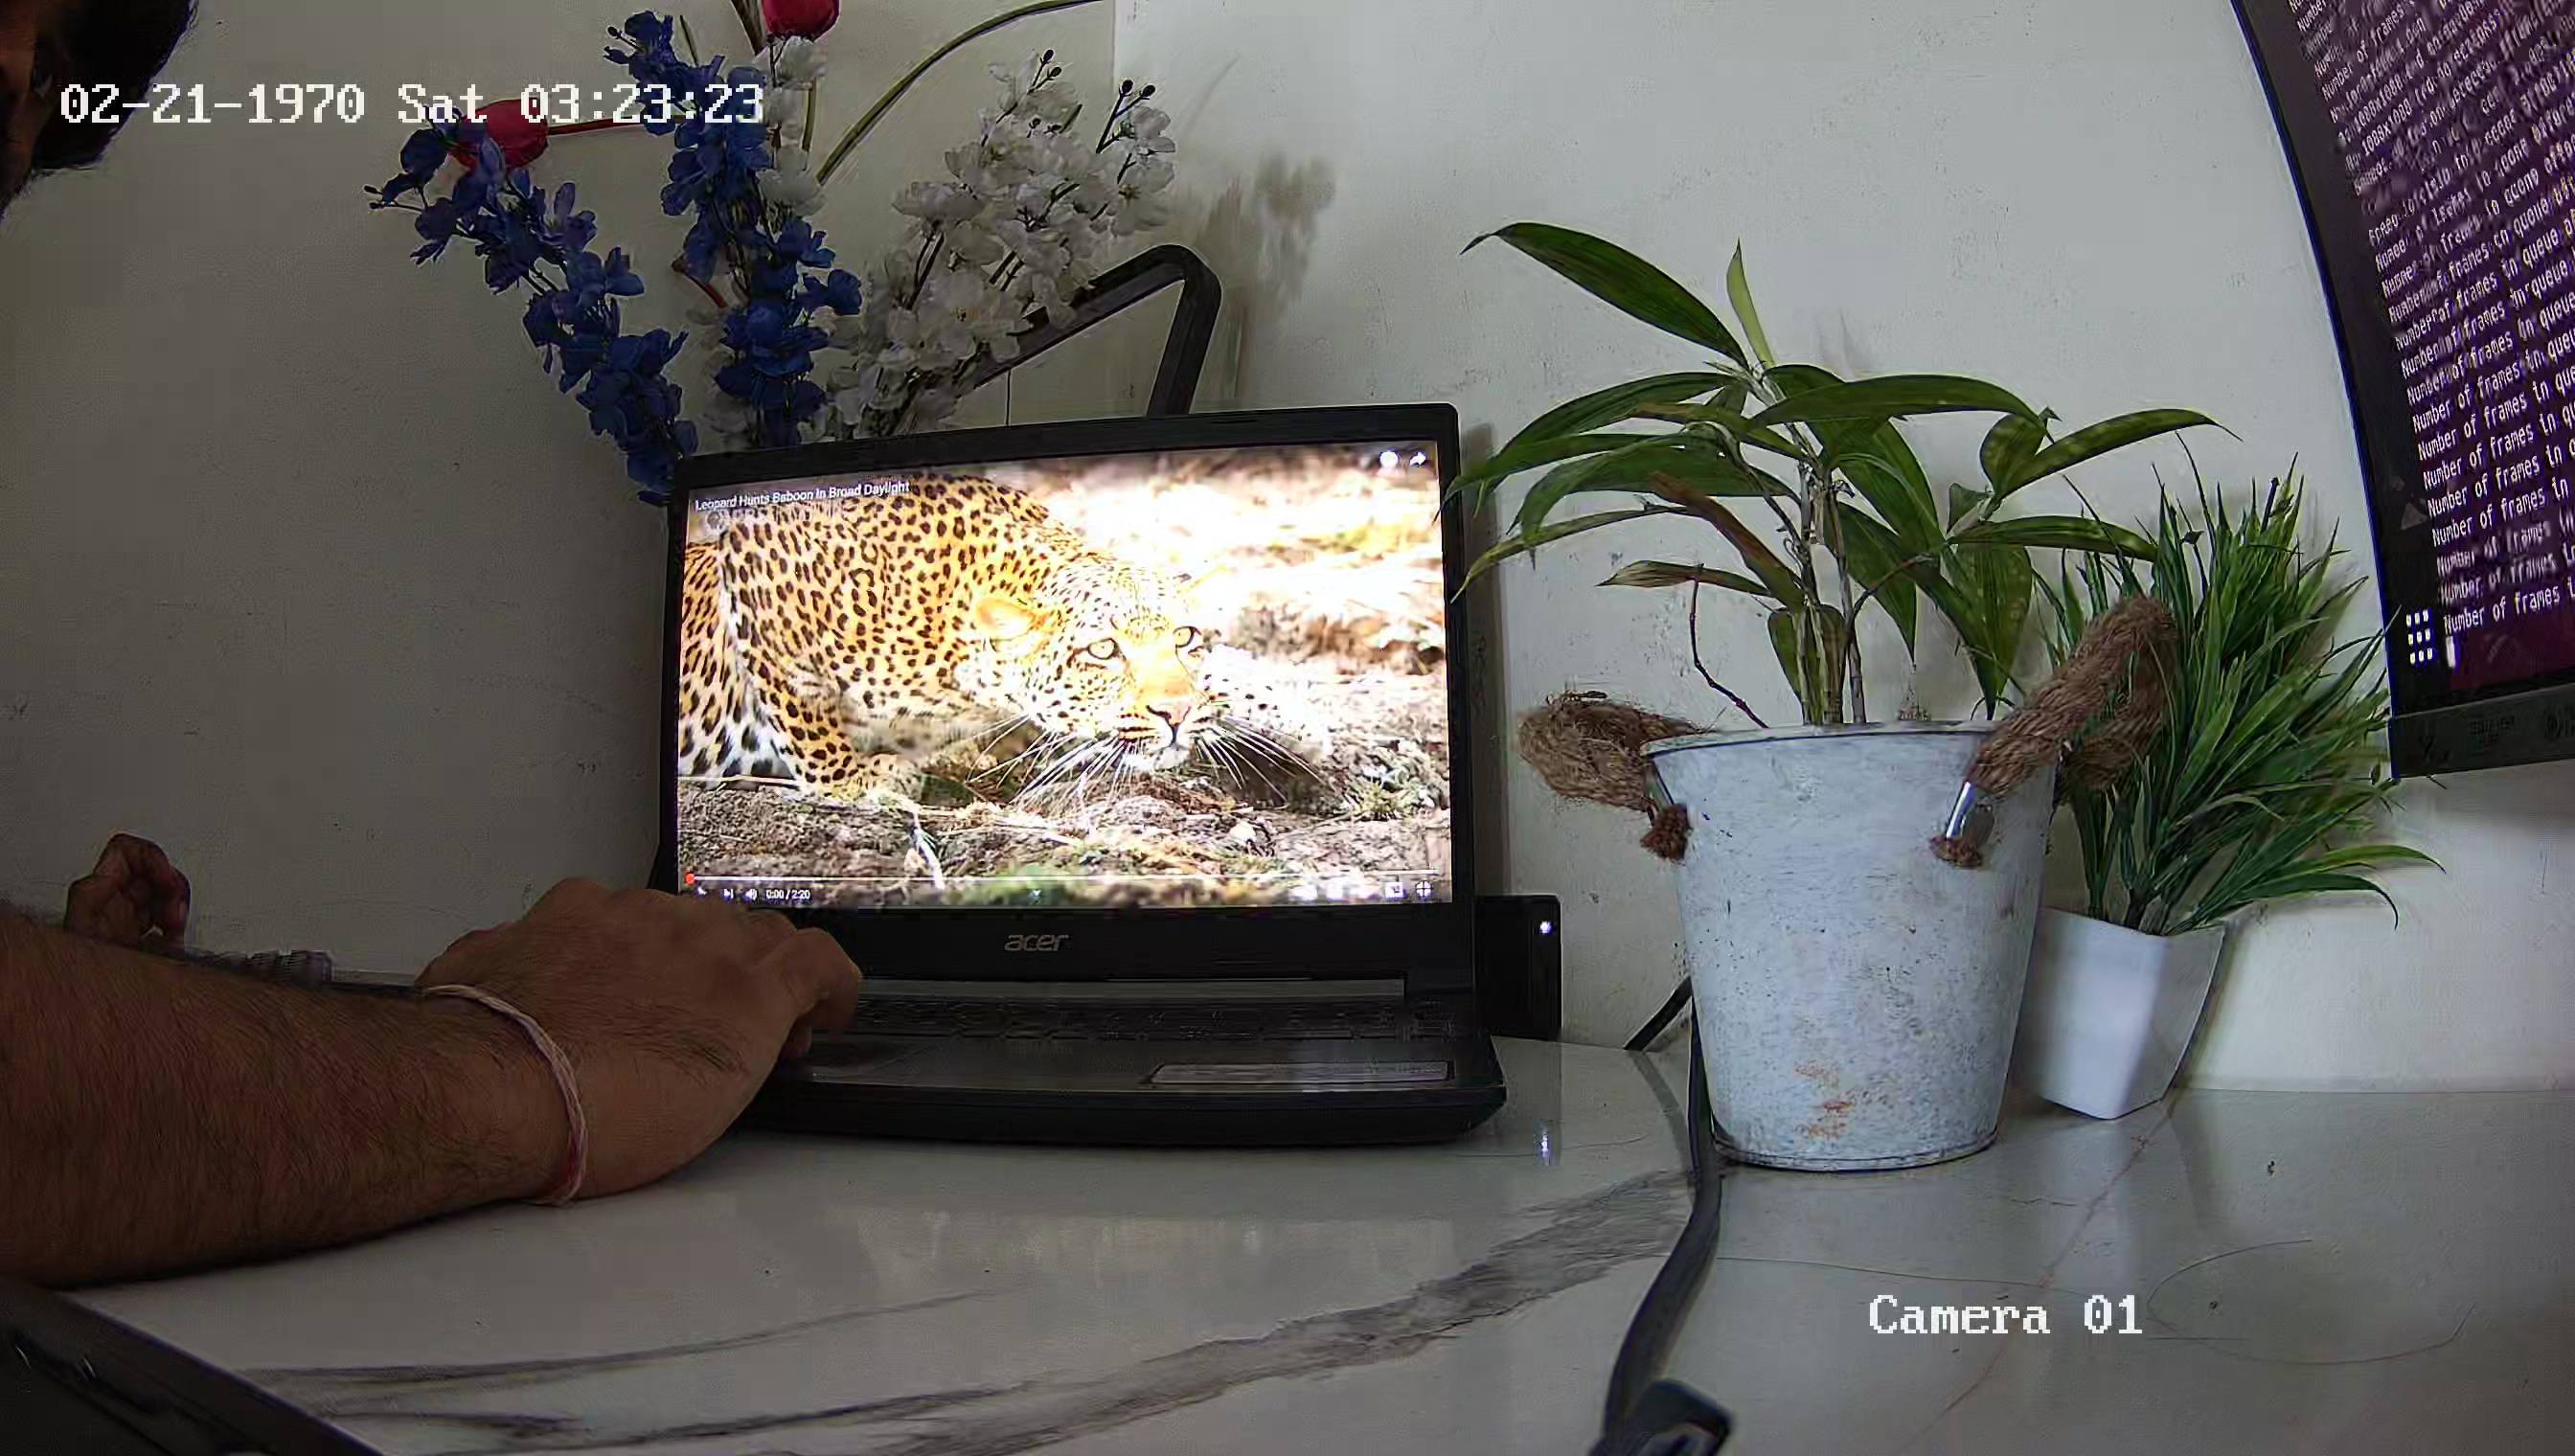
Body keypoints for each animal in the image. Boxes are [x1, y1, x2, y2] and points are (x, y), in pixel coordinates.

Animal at [677, 474, 1327, 803]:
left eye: (1184, 637)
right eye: (1103, 650)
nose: (1175, 714)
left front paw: (1295, 716)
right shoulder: (756, 566)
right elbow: (803, 717)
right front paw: (855, 782)